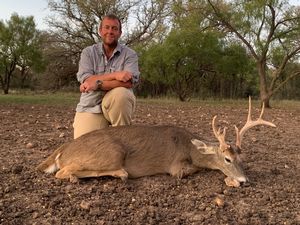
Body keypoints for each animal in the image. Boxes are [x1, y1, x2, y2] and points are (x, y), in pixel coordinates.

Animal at [36, 96, 276, 186]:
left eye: (241, 157)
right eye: (226, 158)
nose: (244, 180)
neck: (189, 146)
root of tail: (63, 149)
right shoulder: (176, 167)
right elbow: (192, 170)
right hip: (112, 153)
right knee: (62, 171)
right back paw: (119, 173)